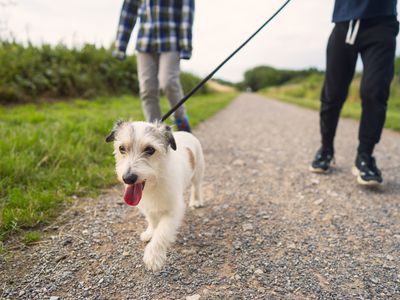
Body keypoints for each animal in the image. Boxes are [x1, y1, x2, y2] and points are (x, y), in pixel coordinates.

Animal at [104, 120, 205, 270]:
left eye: (150, 149)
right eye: (122, 148)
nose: (128, 178)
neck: (155, 181)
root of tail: (186, 133)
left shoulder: (173, 210)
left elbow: (162, 231)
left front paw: (153, 256)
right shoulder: (146, 207)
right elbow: (152, 220)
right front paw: (150, 233)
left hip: (198, 173)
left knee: (196, 187)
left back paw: (196, 201)